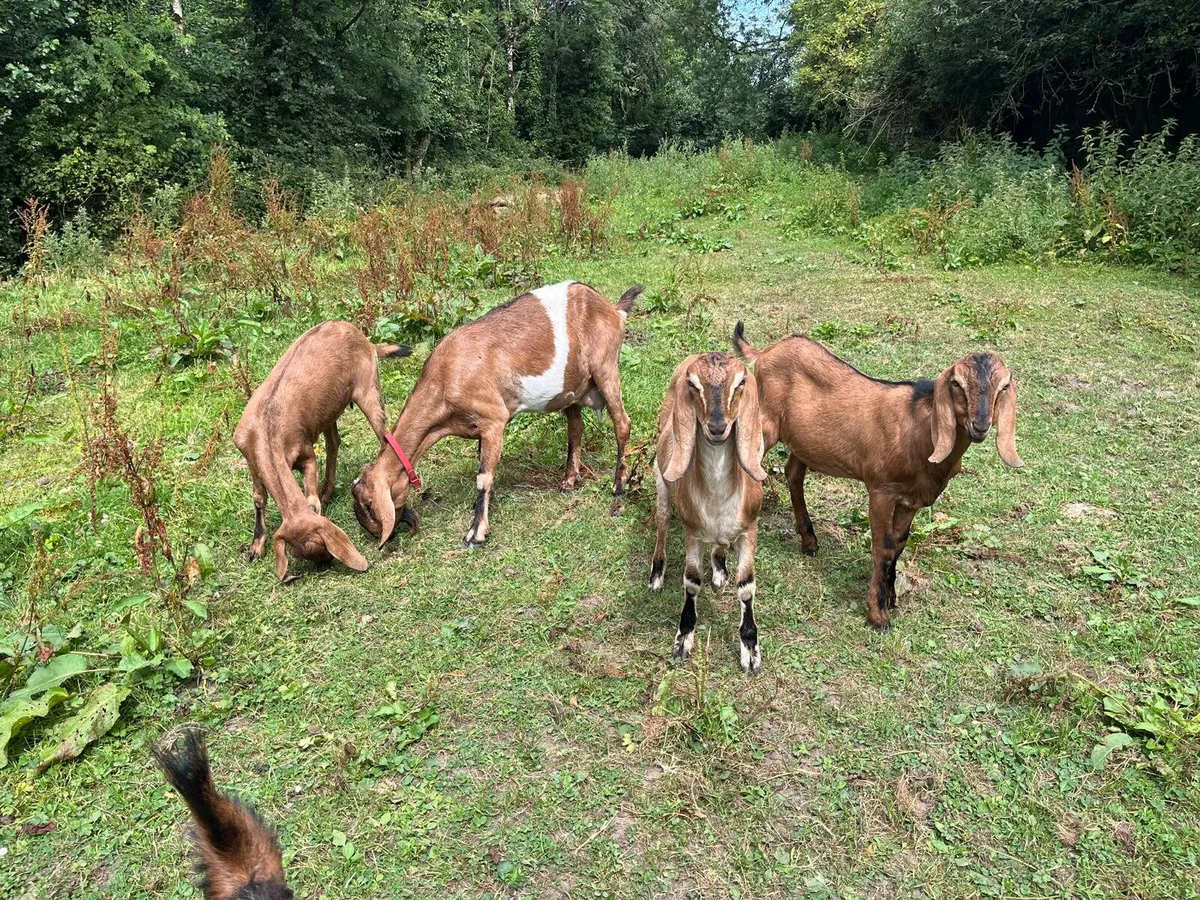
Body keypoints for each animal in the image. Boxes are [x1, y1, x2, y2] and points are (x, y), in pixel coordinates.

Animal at [232, 321, 411, 580]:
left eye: (324, 546)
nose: (325, 564)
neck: (267, 428)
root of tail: (363, 337)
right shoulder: (252, 460)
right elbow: (258, 498)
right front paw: (256, 547)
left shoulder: (306, 454)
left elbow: (311, 498)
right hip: (329, 410)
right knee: (334, 442)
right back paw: (328, 490)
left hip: (368, 389)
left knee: (382, 434)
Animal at [352, 281, 642, 547]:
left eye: (369, 505)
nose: (382, 536)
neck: (445, 379)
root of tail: (612, 308)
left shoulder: (494, 420)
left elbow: (483, 478)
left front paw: (476, 533)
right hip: (571, 387)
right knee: (576, 429)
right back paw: (569, 481)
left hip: (605, 368)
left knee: (622, 423)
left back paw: (618, 484)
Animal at [649, 352, 768, 673]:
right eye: (693, 385)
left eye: (741, 382)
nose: (717, 428)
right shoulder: (692, 533)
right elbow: (691, 581)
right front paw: (683, 640)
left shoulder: (750, 529)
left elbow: (746, 586)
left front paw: (750, 651)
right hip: (661, 479)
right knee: (662, 522)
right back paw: (656, 576)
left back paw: (719, 570)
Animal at [733, 323, 1023, 630]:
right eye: (957, 383)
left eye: (1004, 386)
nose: (980, 426)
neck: (919, 430)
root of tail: (765, 352)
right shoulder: (881, 490)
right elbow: (883, 547)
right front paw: (878, 613)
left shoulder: (910, 501)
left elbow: (899, 544)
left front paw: (892, 596)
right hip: (764, 423)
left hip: (803, 441)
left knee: (793, 474)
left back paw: (809, 541)